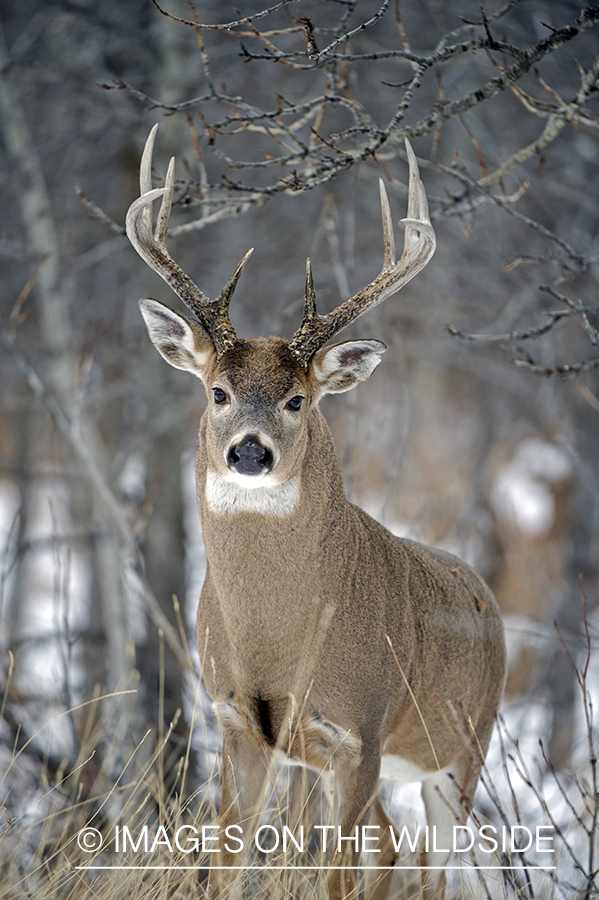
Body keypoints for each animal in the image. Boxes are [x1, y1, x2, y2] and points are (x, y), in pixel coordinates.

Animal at [125, 125, 506, 900]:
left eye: (298, 399)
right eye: (217, 391)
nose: (249, 450)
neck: (279, 636)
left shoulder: (358, 732)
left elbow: (333, 876)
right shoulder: (238, 724)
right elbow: (227, 865)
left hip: (461, 747)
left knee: (432, 864)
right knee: (390, 847)